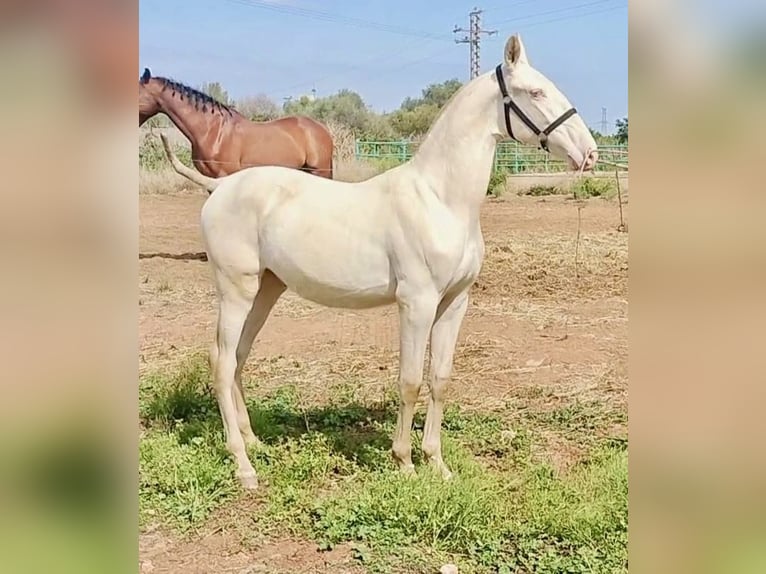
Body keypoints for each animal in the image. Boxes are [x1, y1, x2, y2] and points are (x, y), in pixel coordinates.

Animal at [159, 33, 600, 490]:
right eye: (535, 92)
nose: (589, 154)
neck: (440, 200)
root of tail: (220, 186)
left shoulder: (454, 303)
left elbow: (440, 379)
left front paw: (437, 463)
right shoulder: (417, 303)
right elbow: (409, 381)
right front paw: (404, 460)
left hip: (266, 288)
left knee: (239, 357)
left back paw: (255, 442)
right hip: (236, 290)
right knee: (221, 361)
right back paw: (244, 466)